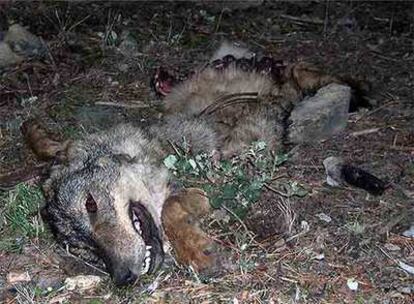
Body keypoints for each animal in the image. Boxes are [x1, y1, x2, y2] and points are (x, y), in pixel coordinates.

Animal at [21, 42, 368, 284]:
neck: (159, 148)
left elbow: (170, 207)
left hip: (286, 80)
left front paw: (197, 253)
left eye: (90, 205)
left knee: (301, 71)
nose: (123, 278)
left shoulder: (230, 174)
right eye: (83, 246)